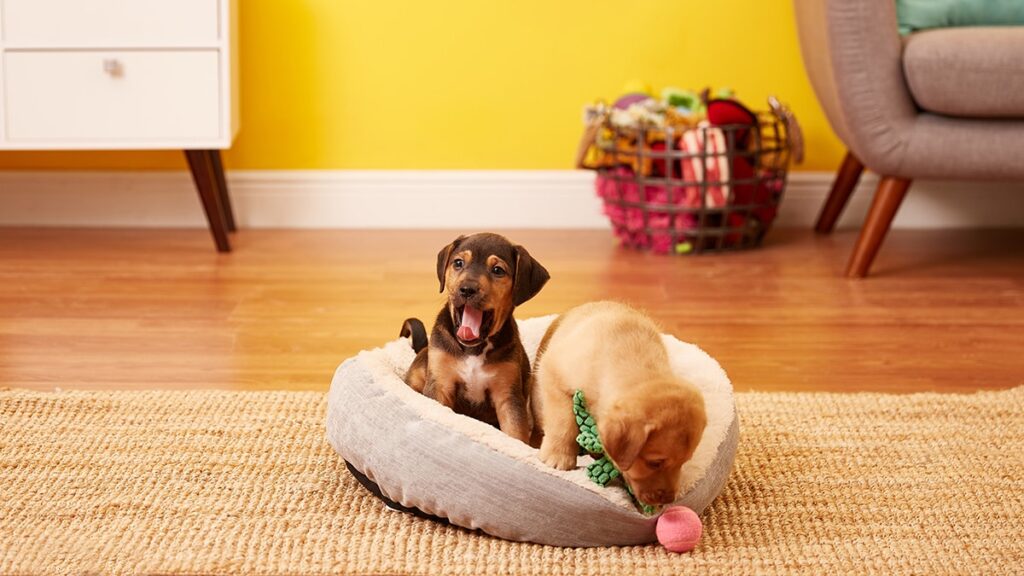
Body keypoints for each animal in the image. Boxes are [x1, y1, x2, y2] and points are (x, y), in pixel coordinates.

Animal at [401, 233, 549, 444]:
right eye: (458, 263)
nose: (466, 289)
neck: (474, 349)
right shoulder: (440, 385)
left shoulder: (508, 397)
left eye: (498, 270)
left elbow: (515, 436)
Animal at [531, 301, 707, 507]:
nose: (668, 501)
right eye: (654, 463)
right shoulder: (553, 371)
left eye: (684, 462)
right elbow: (562, 420)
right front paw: (558, 455)